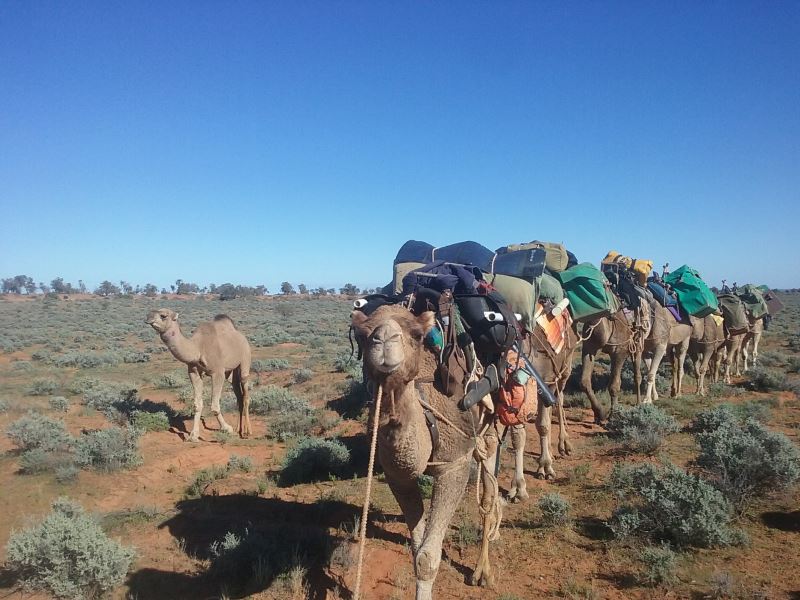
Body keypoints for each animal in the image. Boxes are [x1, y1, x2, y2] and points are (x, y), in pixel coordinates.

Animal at [145, 309, 252, 441]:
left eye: (163, 316)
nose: (148, 317)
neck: (198, 348)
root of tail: (241, 336)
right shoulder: (194, 372)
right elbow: (197, 404)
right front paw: (193, 435)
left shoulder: (218, 372)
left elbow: (214, 406)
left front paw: (227, 428)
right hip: (231, 373)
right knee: (238, 395)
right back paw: (239, 429)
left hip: (245, 359)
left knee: (245, 393)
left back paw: (247, 432)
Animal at [351, 305, 503, 599]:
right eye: (362, 335)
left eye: (418, 335)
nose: (384, 339)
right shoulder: (397, 477)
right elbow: (417, 549)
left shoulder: (455, 464)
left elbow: (427, 558)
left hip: (490, 427)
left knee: (489, 493)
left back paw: (482, 573)